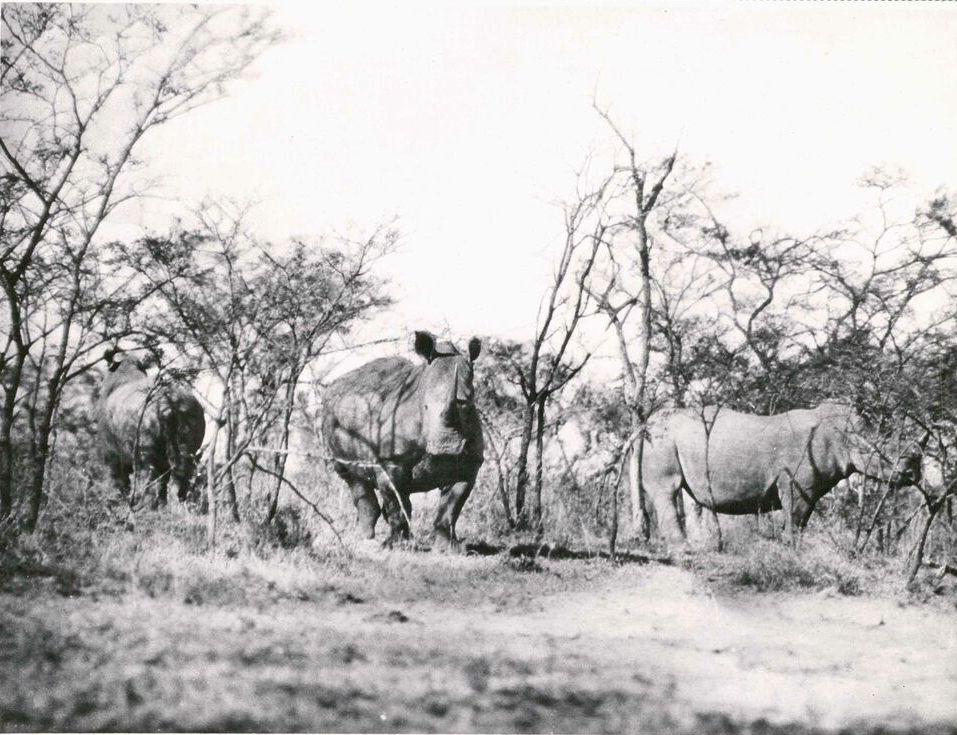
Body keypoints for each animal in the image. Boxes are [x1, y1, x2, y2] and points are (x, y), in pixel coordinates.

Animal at [96, 349, 206, 507]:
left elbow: (119, 479)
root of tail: (168, 403)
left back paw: (145, 505)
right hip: (190, 420)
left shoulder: (111, 451)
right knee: (181, 468)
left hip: (144, 435)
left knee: (148, 472)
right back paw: (176, 504)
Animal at [321, 331, 483, 550]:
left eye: (468, 404)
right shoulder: (389, 461)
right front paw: (396, 546)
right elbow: (396, 505)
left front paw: (448, 548)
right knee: (352, 477)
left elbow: (451, 507)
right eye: (425, 407)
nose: (446, 447)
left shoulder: (470, 464)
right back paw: (366, 541)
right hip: (330, 420)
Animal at [640, 401, 924, 543]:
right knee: (668, 489)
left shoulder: (809, 488)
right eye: (888, 453)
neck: (848, 437)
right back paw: (682, 547)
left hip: (669, 441)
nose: (916, 474)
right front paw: (792, 550)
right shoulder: (798, 483)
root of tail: (646, 423)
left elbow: (801, 520)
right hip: (662, 439)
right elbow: (796, 518)